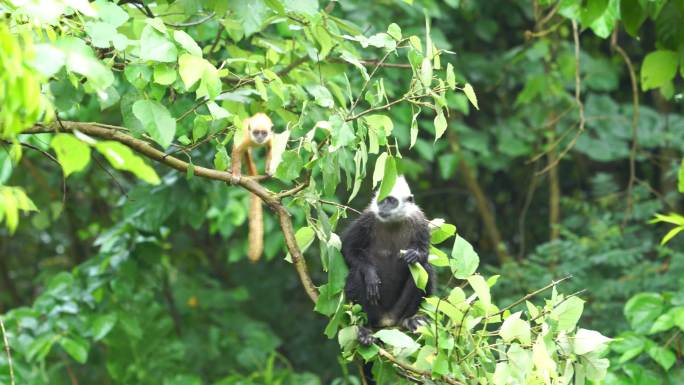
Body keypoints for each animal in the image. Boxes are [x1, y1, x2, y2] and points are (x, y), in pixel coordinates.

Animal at [230, 111, 272, 260]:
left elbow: (271, 149)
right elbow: (237, 150)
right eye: (256, 132)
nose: (260, 137)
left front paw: (269, 170)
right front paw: (235, 174)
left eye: (263, 133)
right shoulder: (245, 136)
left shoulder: (270, 138)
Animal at [340, 175, 436, 344]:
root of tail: (387, 321)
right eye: (381, 200)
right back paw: (366, 330)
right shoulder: (368, 218)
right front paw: (371, 275)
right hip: (375, 313)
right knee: (357, 272)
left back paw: (409, 320)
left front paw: (415, 255)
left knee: (424, 268)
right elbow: (348, 249)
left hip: (398, 311)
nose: (383, 207)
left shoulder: (419, 220)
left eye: (391, 201)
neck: (393, 222)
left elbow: (424, 254)